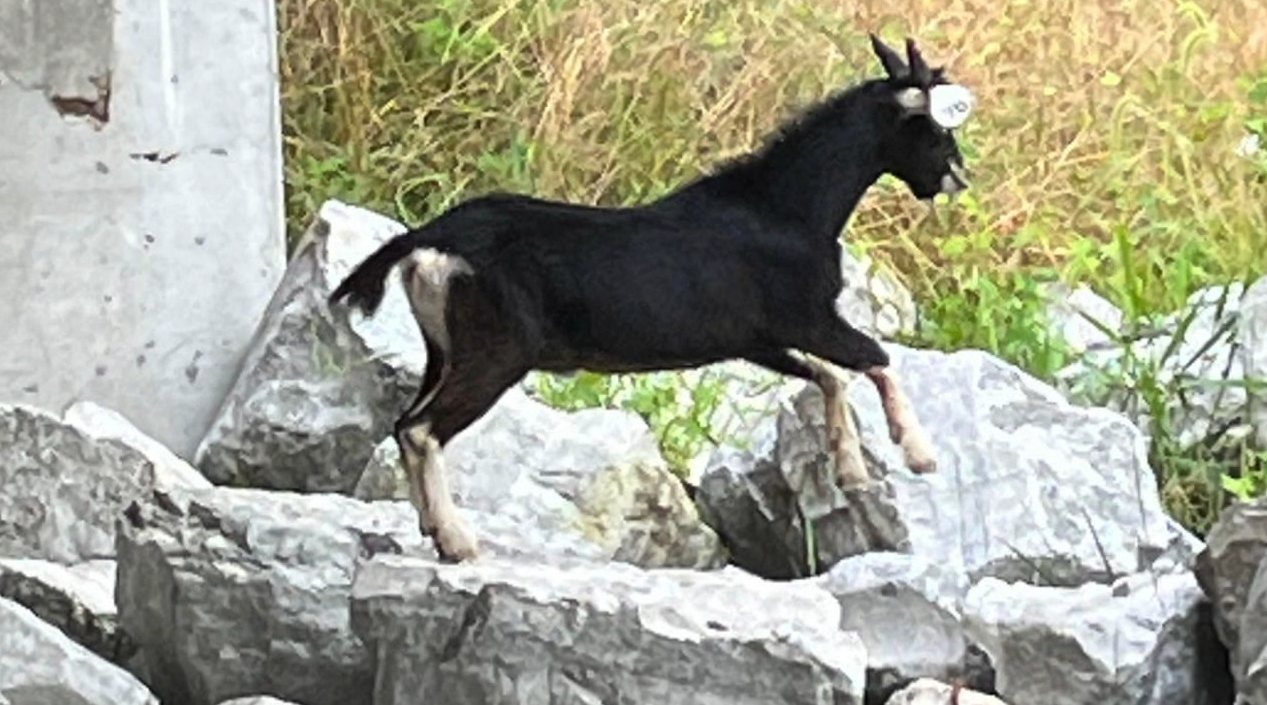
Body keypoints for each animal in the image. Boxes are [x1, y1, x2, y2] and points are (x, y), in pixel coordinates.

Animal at [329, 34, 976, 562]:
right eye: (936, 128)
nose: (958, 178)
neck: (786, 207)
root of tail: (429, 240)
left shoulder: (758, 339)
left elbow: (829, 376)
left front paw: (851, 470)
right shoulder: (807, 316)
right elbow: (875, 358)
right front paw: (918, 453)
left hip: (446, 349)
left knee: (405, 423)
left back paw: (432, 530)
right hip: (498, 351)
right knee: (422, 430)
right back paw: (458, 539)